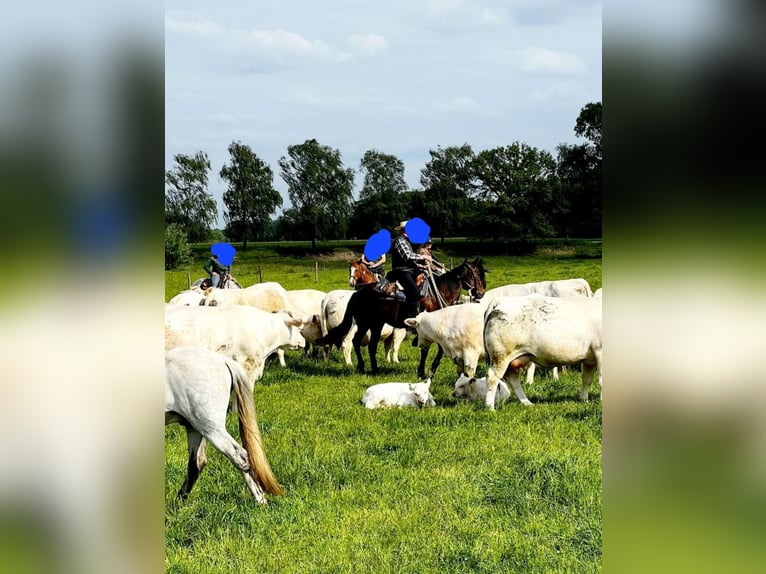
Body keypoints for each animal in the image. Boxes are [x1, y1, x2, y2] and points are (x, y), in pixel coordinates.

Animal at [318, 258, 486, 376]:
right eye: (477, 274)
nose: (480, 293)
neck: (439, 291)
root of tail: (357, 293)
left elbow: (438, 349)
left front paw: (430, 369)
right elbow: (426, 349)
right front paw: (424, 371)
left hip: (375, 324)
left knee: (368, 345)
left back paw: (373, 369)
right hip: (365, 323)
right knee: (354, 342)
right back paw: (361, 366)